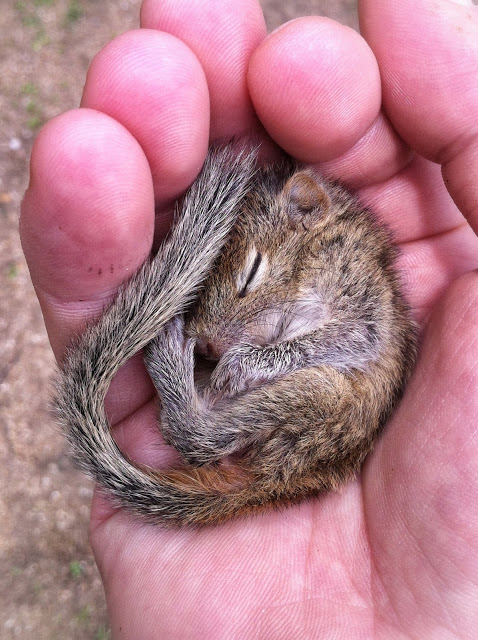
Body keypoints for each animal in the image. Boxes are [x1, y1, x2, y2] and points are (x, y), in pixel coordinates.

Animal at [55, 142, 414, 528]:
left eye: (252, 272)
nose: (208, 347)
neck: (313, 253)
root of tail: (283, 477)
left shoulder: (360, 294)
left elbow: (350, 336)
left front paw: (241, 365)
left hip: (320, 396)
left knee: (194, 436)